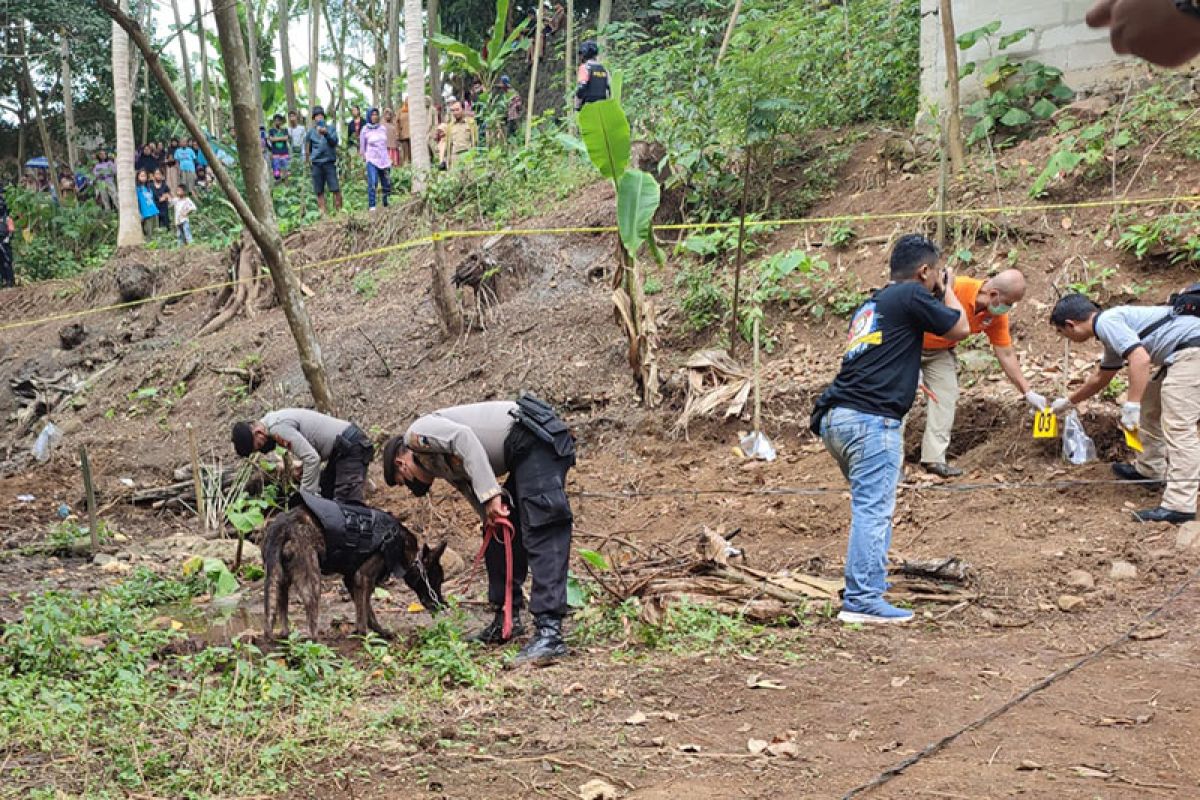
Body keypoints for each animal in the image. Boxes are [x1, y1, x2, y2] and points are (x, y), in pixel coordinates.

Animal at [261, 491, 446, 642]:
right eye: (437, 580)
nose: (443, 605)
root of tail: (284, 524)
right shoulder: (364, 578)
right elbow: (364, 611)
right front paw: (365, 636)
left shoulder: (352, 580)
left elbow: (365, 610)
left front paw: (376, 632)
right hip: (312, 580)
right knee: (310, 614)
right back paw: (316, 642)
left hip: (280, 579)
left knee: (281, 612)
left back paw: (285, 637)